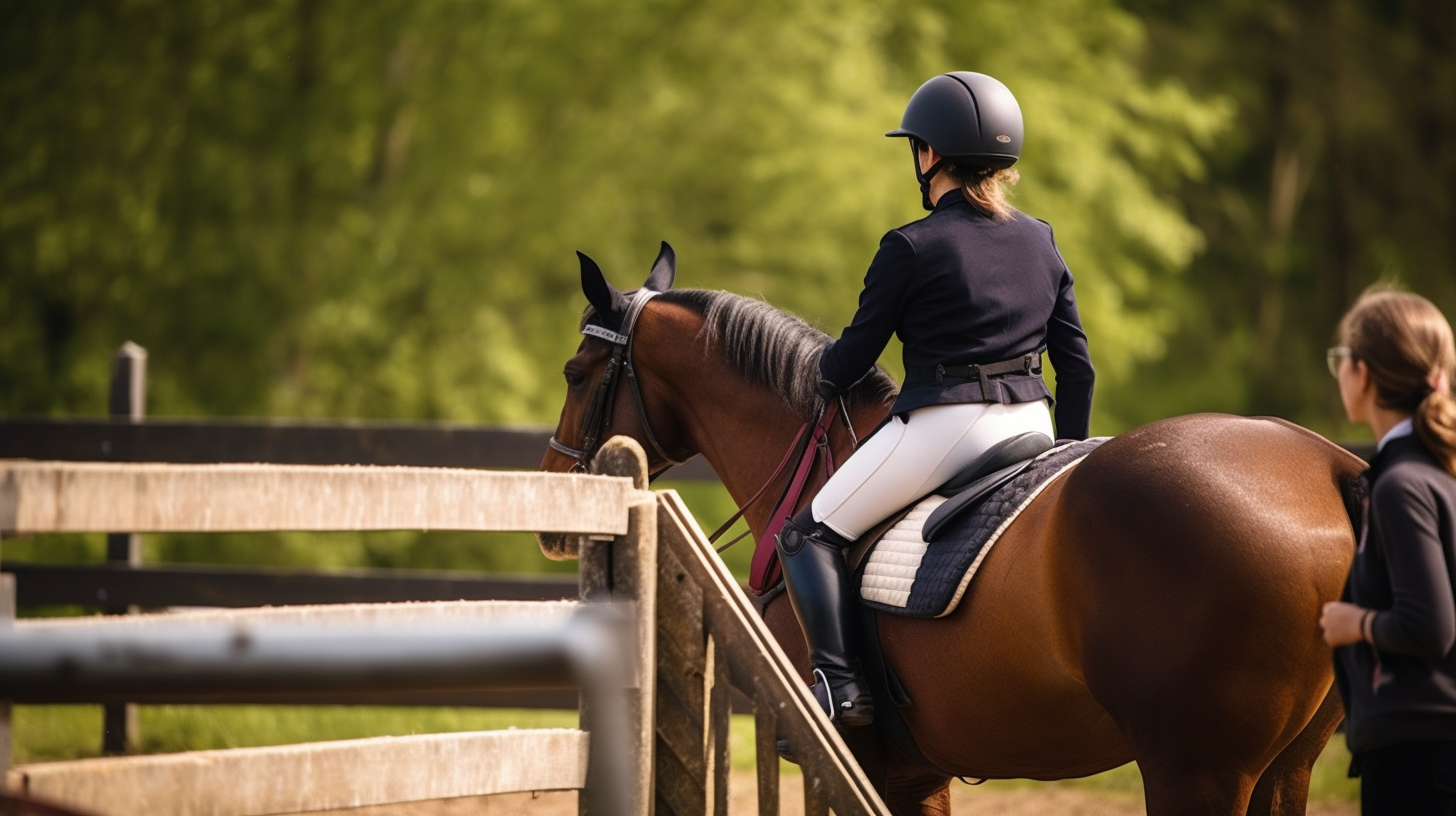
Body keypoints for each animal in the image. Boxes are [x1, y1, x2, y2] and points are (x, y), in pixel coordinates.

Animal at [538, 243, 1362, 816]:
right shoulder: (917, 770)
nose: (553, 509)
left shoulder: (865, 761)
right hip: (1284, 767)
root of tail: (1328, 465)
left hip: (1197, 767)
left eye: (576, 373)